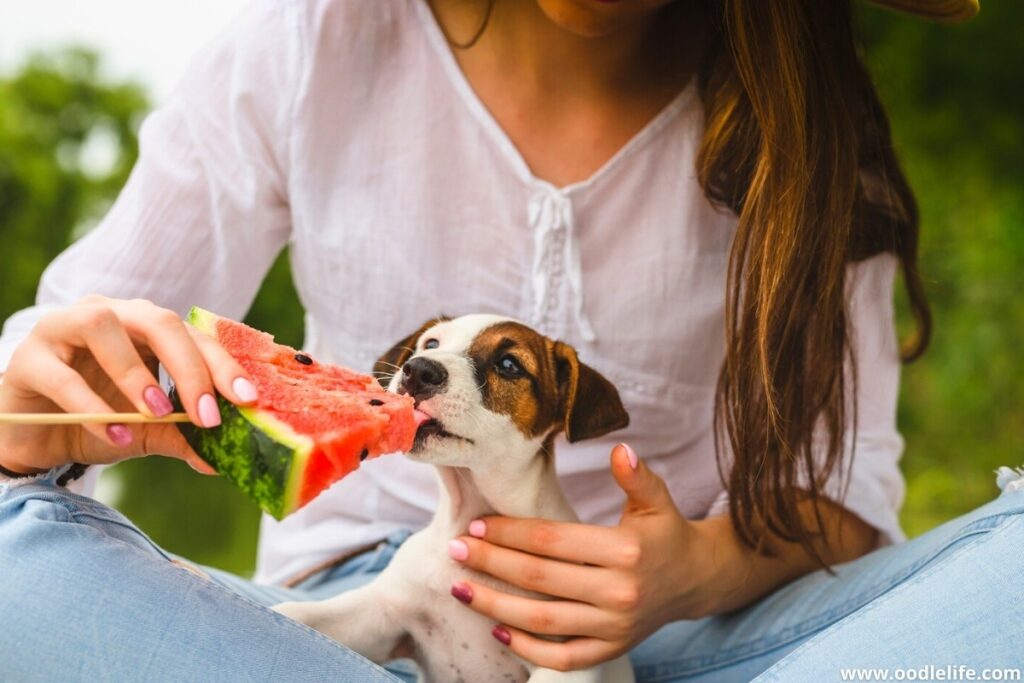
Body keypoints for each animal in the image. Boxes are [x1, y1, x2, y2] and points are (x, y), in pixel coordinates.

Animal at [276, 315, 634, 683]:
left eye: (509, 365)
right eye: (431, 344)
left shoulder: (563, 662)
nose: (418, 371)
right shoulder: (383, 614)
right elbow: (296, 614)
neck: (469, 513)